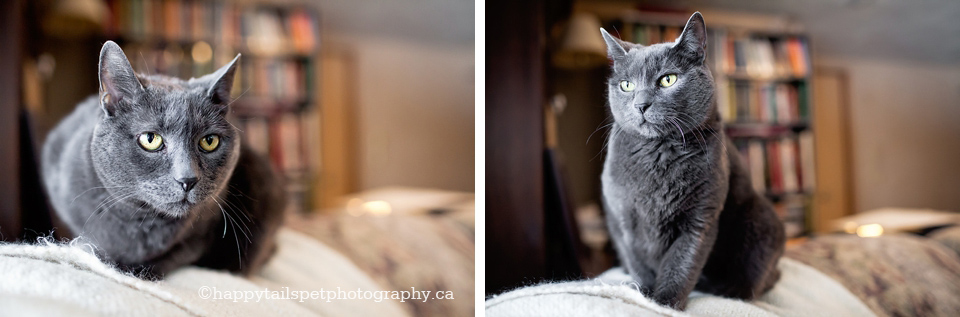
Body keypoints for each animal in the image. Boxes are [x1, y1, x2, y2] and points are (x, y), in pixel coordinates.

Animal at [41, 40, 284, 278]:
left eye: (209, 141)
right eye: (151, 139)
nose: (187, 179)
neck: (140, 221)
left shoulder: (200, 236)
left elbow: (170, 257)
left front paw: (126, 267)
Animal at [600, 12, 788, 308]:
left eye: (668, 80)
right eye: (627, 85)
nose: (640, 104)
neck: (658, 155)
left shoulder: (700, 219)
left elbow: (681, 265)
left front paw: (664, 303)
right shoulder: (624, 221)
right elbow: (640, 263)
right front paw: (644, 295)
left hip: (760, 221)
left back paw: (726, 289)